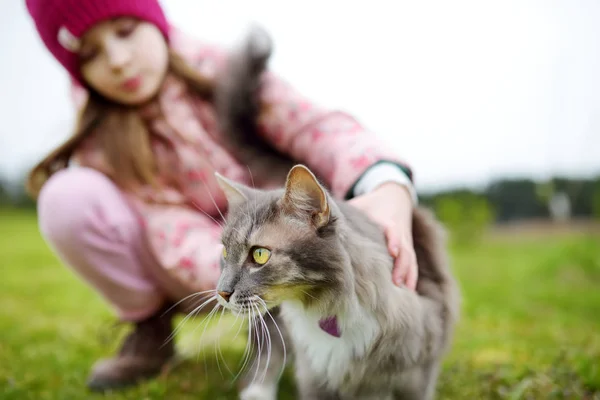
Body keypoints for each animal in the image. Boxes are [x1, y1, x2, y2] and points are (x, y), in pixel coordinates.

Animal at [210, 25, 460, 400]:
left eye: (259, 255)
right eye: (225, 253)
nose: (222, 293)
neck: (329, 310)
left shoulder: (417, 375)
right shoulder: (315, 376)